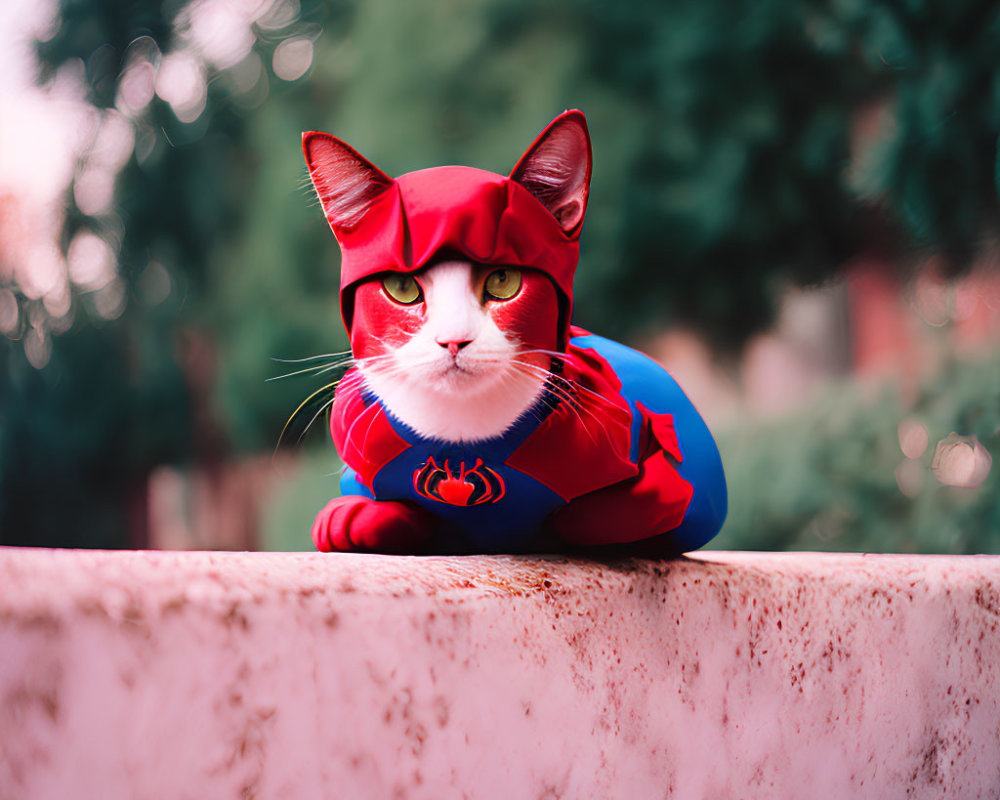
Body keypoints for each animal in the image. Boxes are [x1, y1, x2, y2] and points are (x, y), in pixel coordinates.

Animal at [298, 109, 728, 552]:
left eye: (503, 280)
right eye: (402, 287)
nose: (454, 340)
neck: (462, 441)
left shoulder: (669, 480)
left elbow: (611, 512)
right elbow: (361, 507)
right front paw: (361, 516)